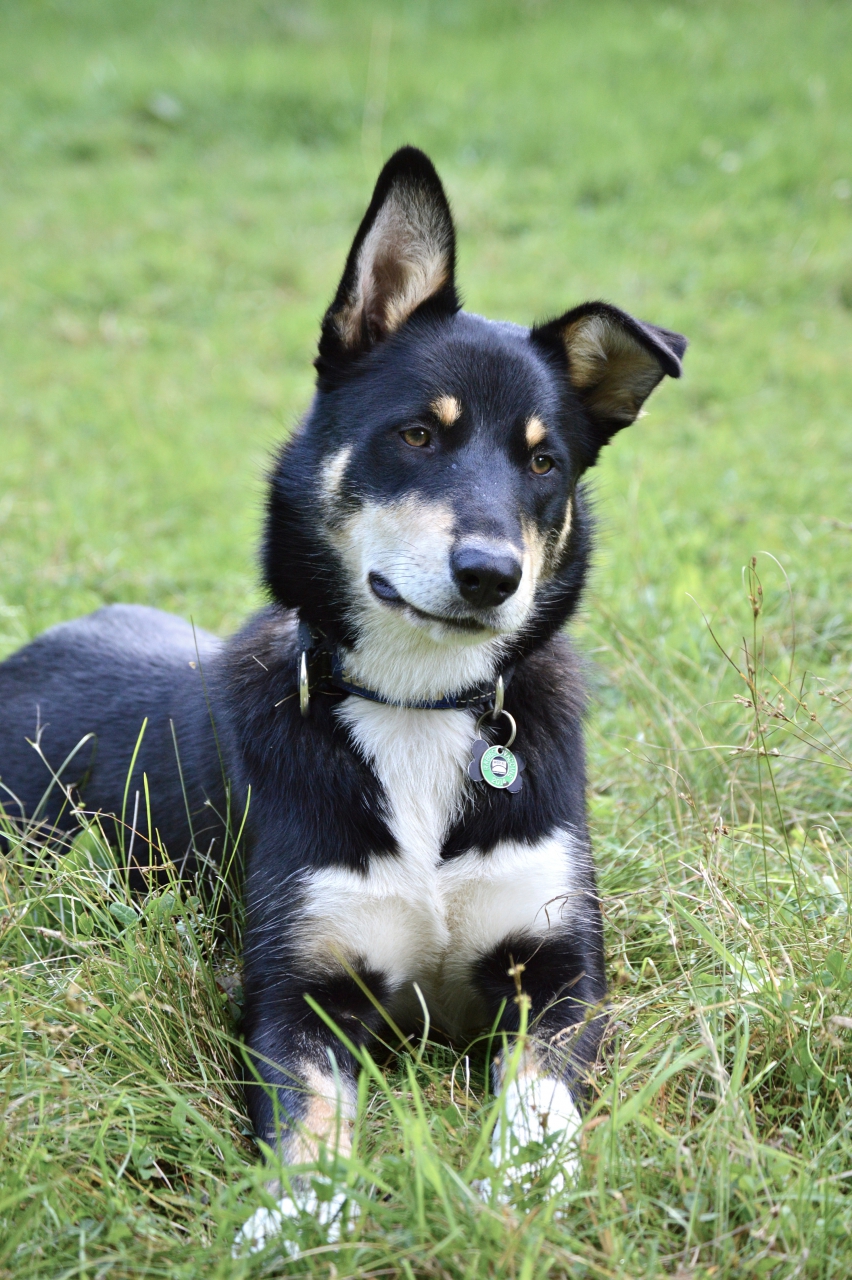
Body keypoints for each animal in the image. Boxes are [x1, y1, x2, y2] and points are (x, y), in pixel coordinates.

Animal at [0, 147, 686, 1250]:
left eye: (545, 460)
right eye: (416, 435)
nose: (491, 575)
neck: (418, 707)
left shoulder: (560, 972)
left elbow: (538, 1098)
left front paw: (518, 1188)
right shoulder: (300, 992)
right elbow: (312, 1117)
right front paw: (296, 1214)